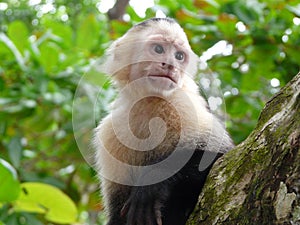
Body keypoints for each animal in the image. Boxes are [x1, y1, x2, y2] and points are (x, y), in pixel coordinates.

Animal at [92, 18, 233, 225]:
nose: (171, 65)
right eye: (158, 49)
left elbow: (218, 156)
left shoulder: (183, 104)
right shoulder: (109, 132)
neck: (148, 102)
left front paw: (151, 187)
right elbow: (117, 211)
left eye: (179, 56)